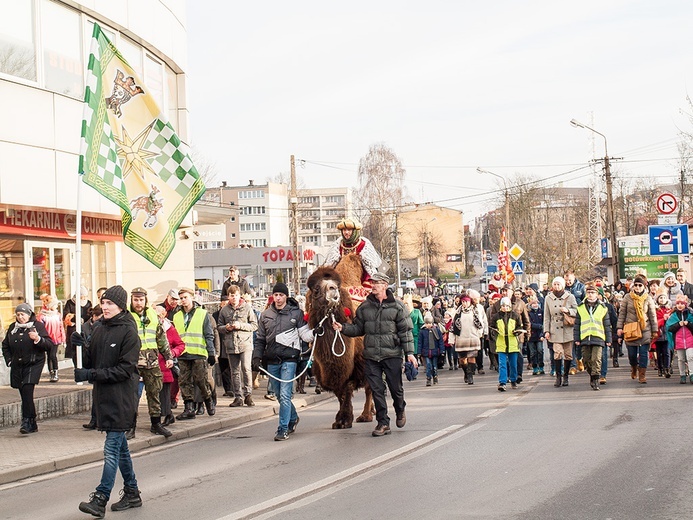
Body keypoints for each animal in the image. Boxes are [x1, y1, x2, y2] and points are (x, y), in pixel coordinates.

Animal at [306, 258, 374, 428]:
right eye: (316, 289)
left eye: (336, 286)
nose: (332, 290)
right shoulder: (326, 371)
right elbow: (339, 392)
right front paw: (340, 419)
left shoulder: (358, 366)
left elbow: (348, 388)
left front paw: (344, 419)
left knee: (370, 388)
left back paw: (366, 415)